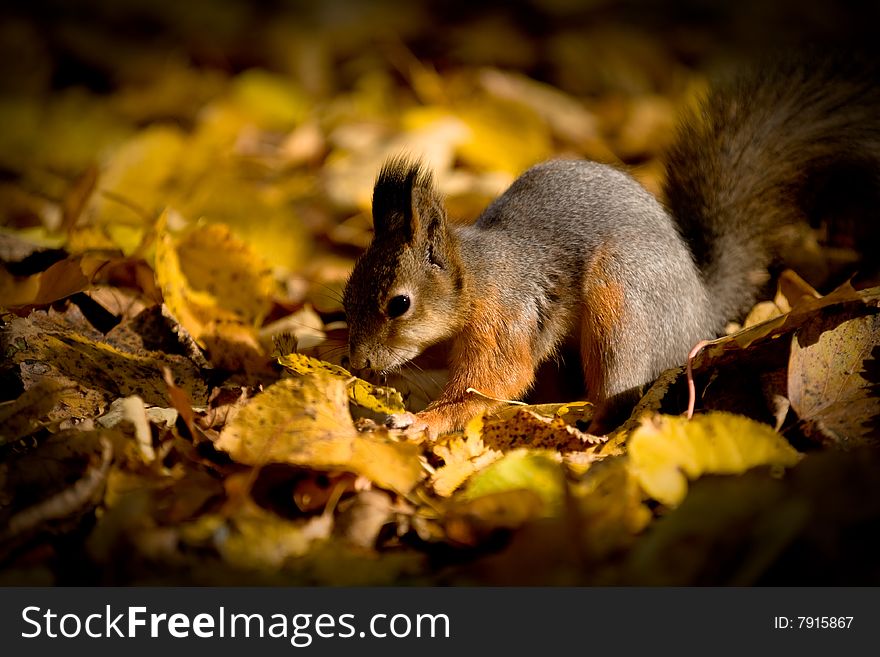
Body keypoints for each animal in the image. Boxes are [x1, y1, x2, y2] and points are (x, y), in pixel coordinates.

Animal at [342, 56, 880, 436]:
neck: (476, 276)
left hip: (621, 303)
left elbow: (495, 382)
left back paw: (589, 431)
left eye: (399, 304)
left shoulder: (505, 317)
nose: (357, 363)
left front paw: (421, 420)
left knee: (618, 393)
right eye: (345, 298)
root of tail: (700, 316)